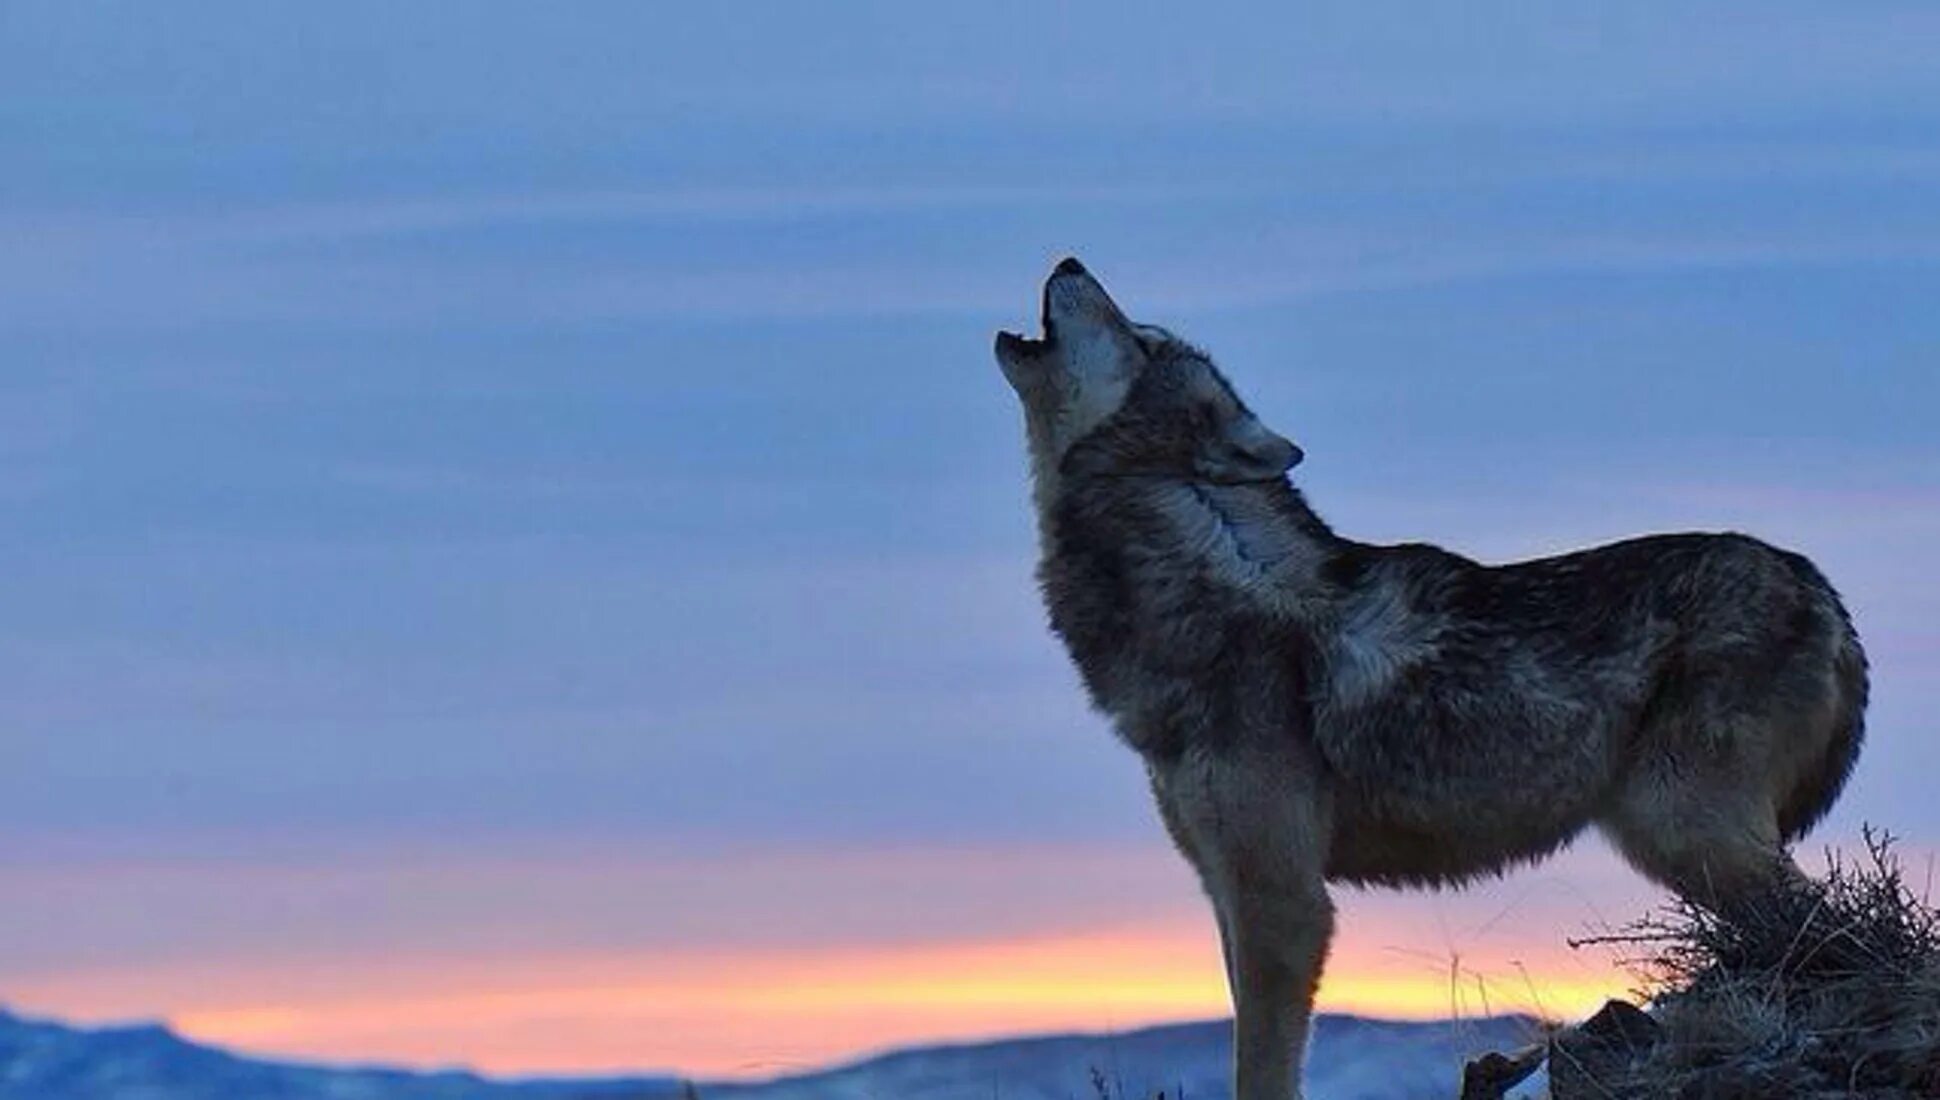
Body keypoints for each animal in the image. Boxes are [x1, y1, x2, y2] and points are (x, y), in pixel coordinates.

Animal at [993, 259, 1870, 1100]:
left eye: (1139, 339)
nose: (1069, 257)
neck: (1209, 580)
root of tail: (1814, 579)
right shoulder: (1225, 886)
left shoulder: (1283, 900)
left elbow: (1261, 1070)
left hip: (1682, 827)